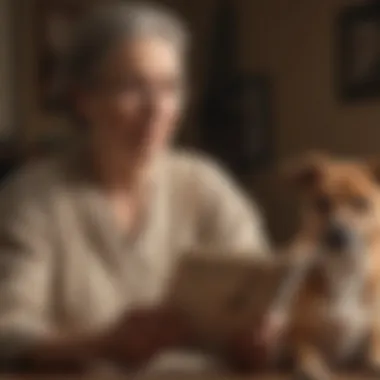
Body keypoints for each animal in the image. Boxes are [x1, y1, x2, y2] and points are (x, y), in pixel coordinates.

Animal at [274, 153, 380, 378]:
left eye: (361, 203)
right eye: (322, 202)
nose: (337, 234)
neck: (344, 269)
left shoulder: (372, 332)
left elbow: (373, 349)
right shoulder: (297, 336)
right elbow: (305, 352)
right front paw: (312, 367)